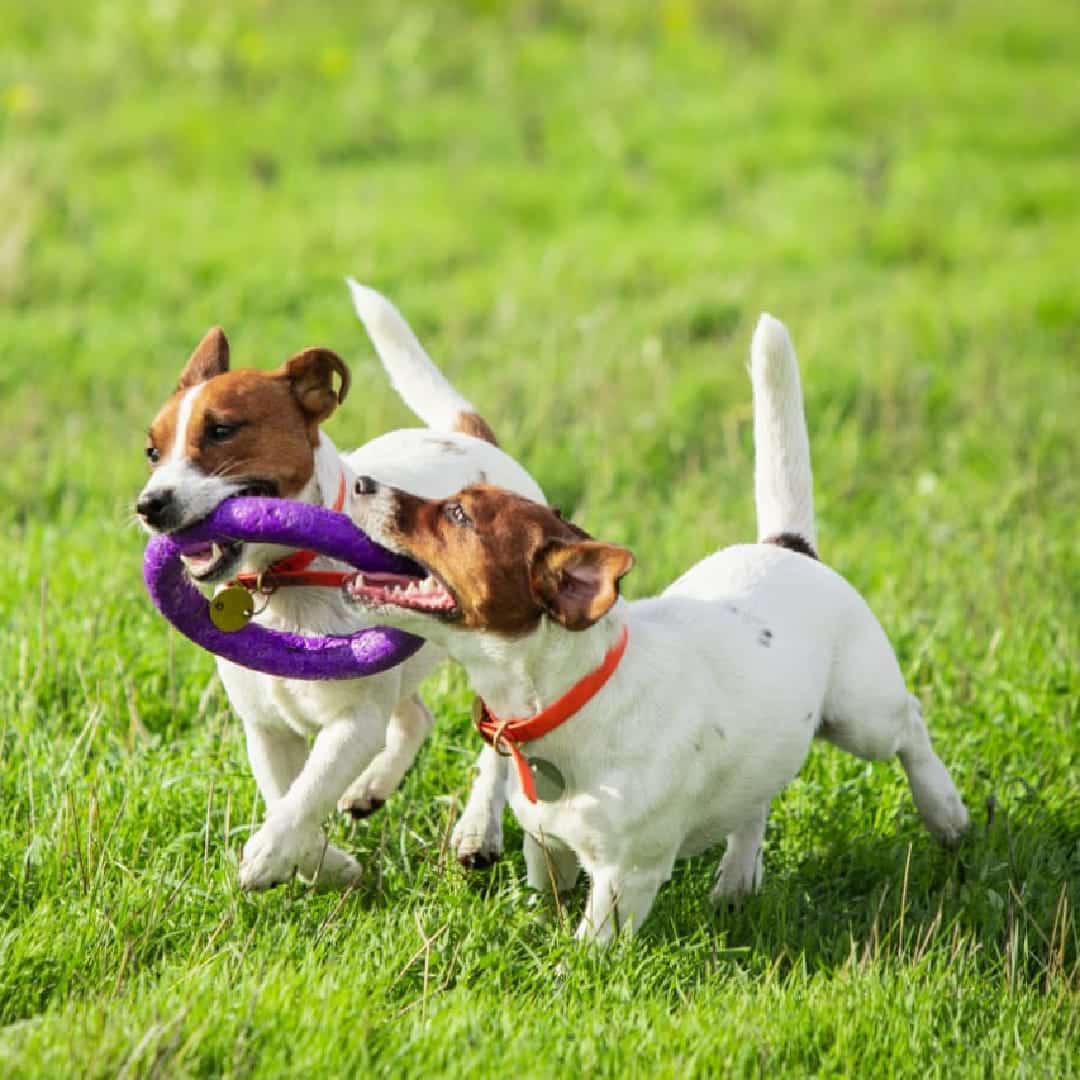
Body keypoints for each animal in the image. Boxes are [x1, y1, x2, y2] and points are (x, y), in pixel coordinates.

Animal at [343, 315, 972, 941]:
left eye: (458, 515)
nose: (362, 483)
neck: (569, 698)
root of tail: (789, 546)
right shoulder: (548, 846)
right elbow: (548, 892)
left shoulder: (626, 876)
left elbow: (589, 945)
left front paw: (570, 962)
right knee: (755, 802)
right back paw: (737, 881)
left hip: (861, 715)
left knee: (910, 723)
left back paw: (946, 811)